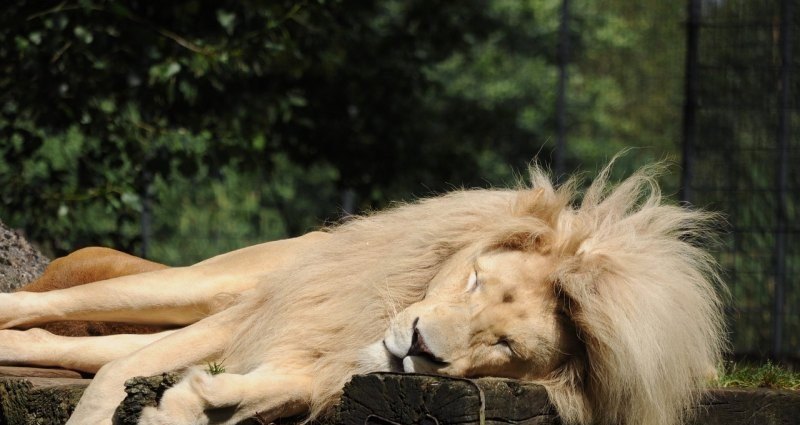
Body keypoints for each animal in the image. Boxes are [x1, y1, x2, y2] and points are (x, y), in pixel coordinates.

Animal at [0, 162, 724, 424]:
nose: (419, 346)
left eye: (505, 344)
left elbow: (264, 390)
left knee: (66, 344)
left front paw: (193, 404)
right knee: (52, 310)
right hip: (211, 286)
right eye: (476, 280)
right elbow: (113, 378)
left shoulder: (306, 365)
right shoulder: (268, 319)